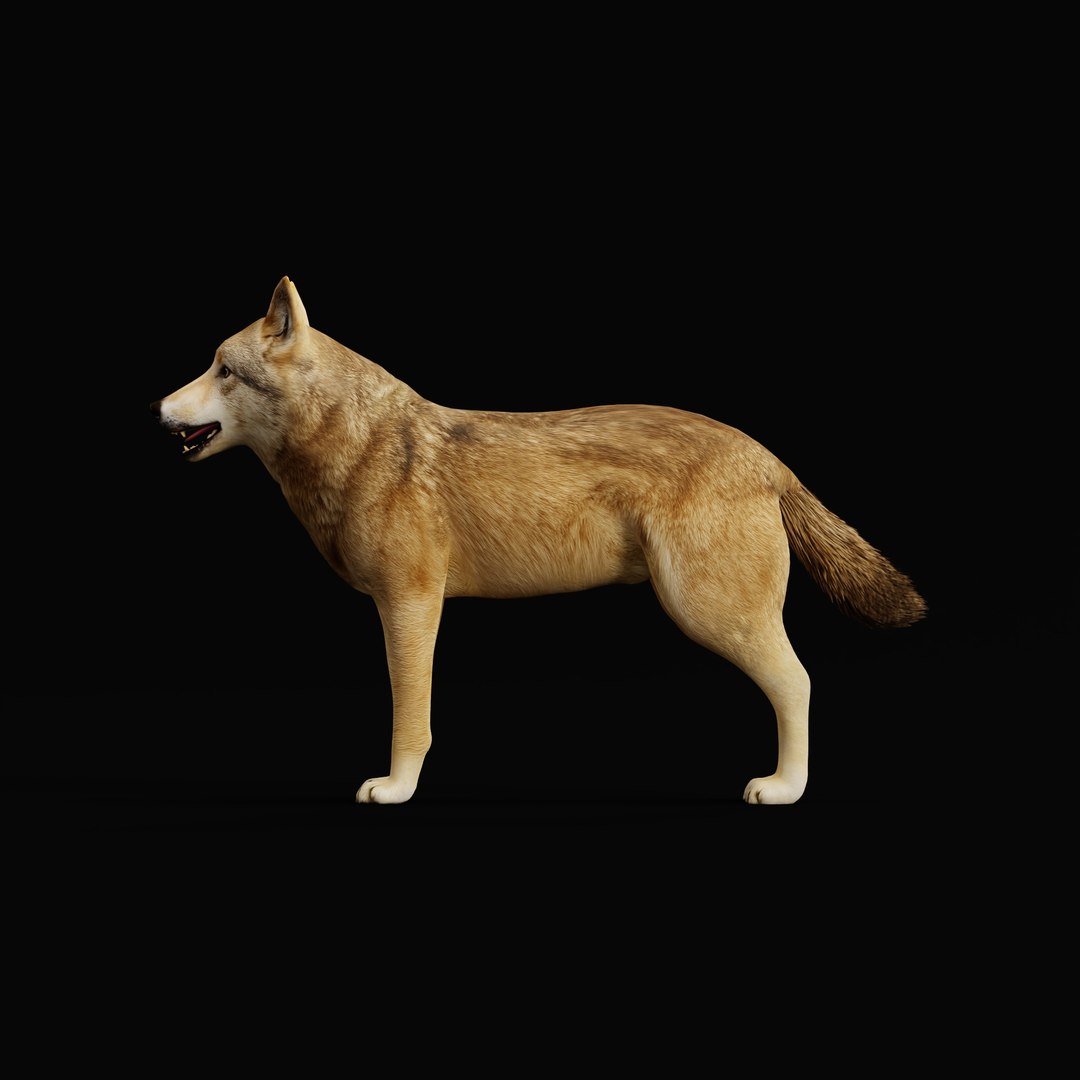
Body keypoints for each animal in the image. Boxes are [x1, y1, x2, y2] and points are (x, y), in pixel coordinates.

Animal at [151, 277, 925, 805]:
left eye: (224, 370)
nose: (157, 408)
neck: (356, 444)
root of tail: (767, 456)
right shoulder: (408, 608)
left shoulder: (411, 606)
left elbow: (410, 718)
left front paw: (397, 789)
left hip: (710, 614)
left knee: (798, 682)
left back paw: (785, 788)